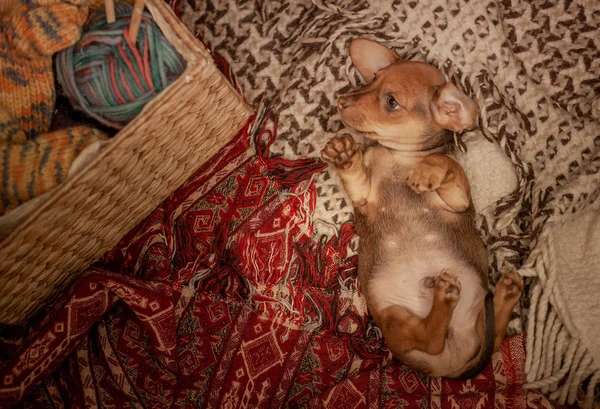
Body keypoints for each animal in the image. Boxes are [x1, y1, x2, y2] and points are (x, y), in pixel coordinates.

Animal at [322, 39, 524, 378]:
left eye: (391, 102)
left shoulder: (458, 199)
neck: (402, 157)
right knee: (444, 338)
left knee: (467, 340)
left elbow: (443, 162)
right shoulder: (364, 195)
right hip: (395, 316)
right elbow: (355, 174)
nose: (340, 101)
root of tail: (447, 368)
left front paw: (426, 171)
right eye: (373, 79)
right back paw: (478, 296)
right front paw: (344, 155)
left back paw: (476, 295)